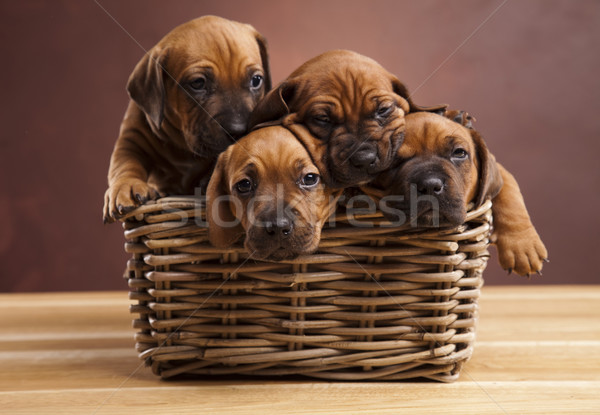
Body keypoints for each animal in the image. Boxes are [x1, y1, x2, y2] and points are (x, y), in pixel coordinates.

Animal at [103, 15, 272, 224]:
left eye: (256, 80)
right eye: (198, 83)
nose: (239, 131)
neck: (183, 147)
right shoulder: (132, 137)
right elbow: (124, 162)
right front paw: (126, 186)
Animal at [366, 112, 548, 278]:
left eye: (459, 153)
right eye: (393, 160)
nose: (430, 185)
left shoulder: (497, 168)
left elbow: (509, 190)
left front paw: (522, 246)